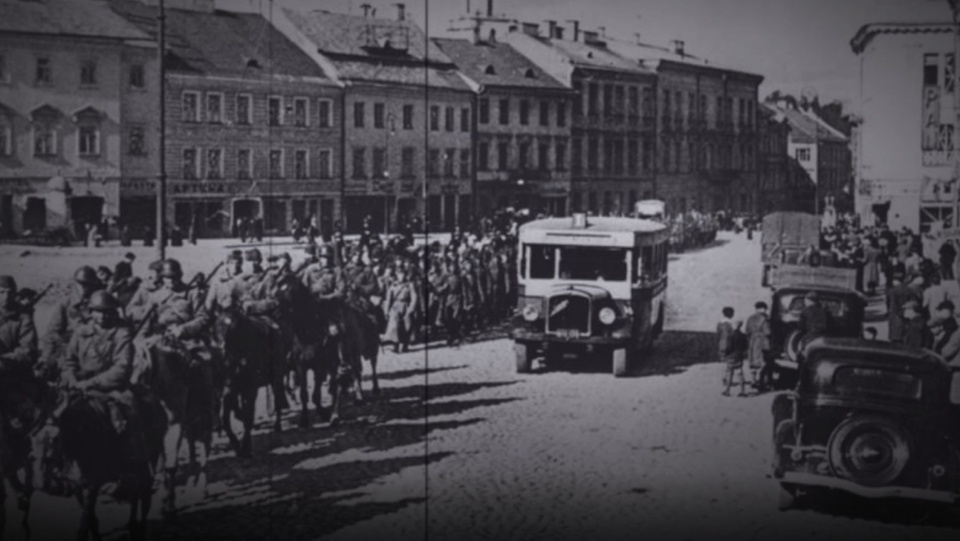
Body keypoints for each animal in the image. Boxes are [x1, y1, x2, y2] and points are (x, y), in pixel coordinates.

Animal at [29, 388, 168, 540]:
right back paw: (132, 524)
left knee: (145, 493)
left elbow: (85, 524)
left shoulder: (91, 485)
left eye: (55, 439)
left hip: (148, 458)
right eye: (32, 437)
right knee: (136, 491)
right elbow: (91, 520)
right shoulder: (79, 486)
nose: (40, 483)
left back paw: (140, 528)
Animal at [216, 308, 290, 456]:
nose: (221, 348)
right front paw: (236, 445)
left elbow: (248, 417)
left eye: (232, 327)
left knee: (278, 400)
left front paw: (246, 447)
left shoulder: (250, 389)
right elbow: (226, 419)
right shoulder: (229, 389)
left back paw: (277, 425)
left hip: (276, 379)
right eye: (216, 326)